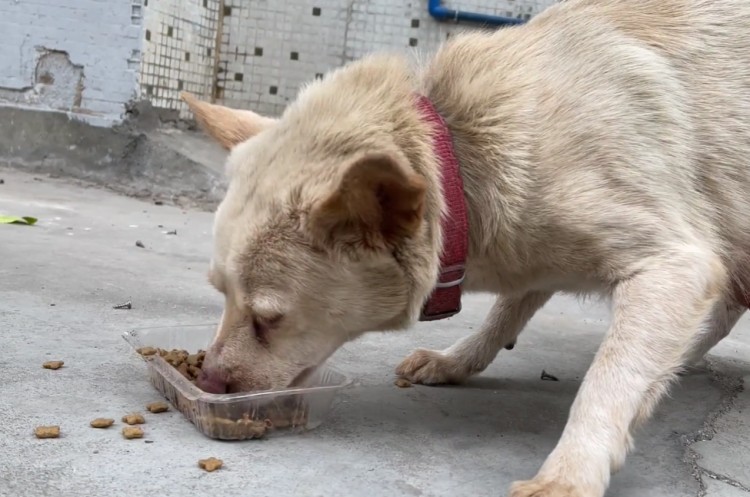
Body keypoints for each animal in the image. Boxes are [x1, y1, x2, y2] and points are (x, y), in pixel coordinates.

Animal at [182, 1, 750, 494]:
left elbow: (608, 379)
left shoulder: (675, 265)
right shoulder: (535, 255)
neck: (458, 154)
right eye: (220, 295)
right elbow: (505, 315)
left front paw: (569, 473)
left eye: (268, 319)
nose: (206, 382)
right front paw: (457, 360)